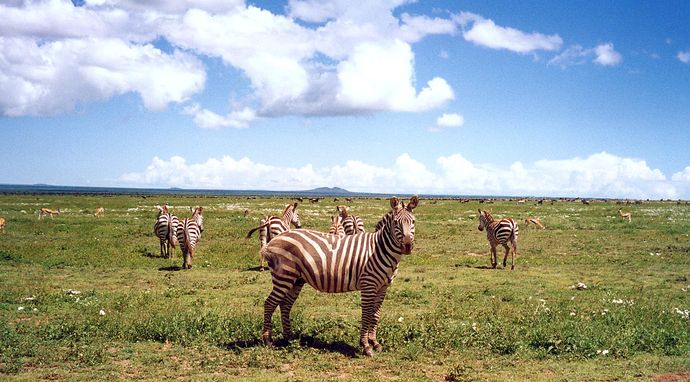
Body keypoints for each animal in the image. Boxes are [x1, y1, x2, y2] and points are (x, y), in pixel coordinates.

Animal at [260, 197, 416, 358]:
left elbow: (376, 314)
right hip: (284, 276)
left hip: (296, 280)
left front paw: (375, 342)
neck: (379, 248)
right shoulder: (368, 284)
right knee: (270, 303)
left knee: (285, 305)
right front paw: (366, 346)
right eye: (396, 223)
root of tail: (273, 241)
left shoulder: (383, 287)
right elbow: (366, 314)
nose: (407, 246)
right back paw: (268, 340)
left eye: (413, 222)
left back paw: (289, 337)